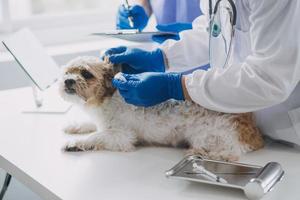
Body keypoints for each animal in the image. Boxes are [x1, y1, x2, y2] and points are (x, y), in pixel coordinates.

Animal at [58, 55, 262, 161]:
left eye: (86, 73)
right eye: (66, 72)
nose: (68, 81)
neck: (108, 96)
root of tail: (253, 132)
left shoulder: (121, 136)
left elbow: (96, 136)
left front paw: (74, 143)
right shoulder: (100, 121)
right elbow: (91, 125)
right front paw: (75, 126)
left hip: (208, 136)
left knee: (231, 153)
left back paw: (200, 153)